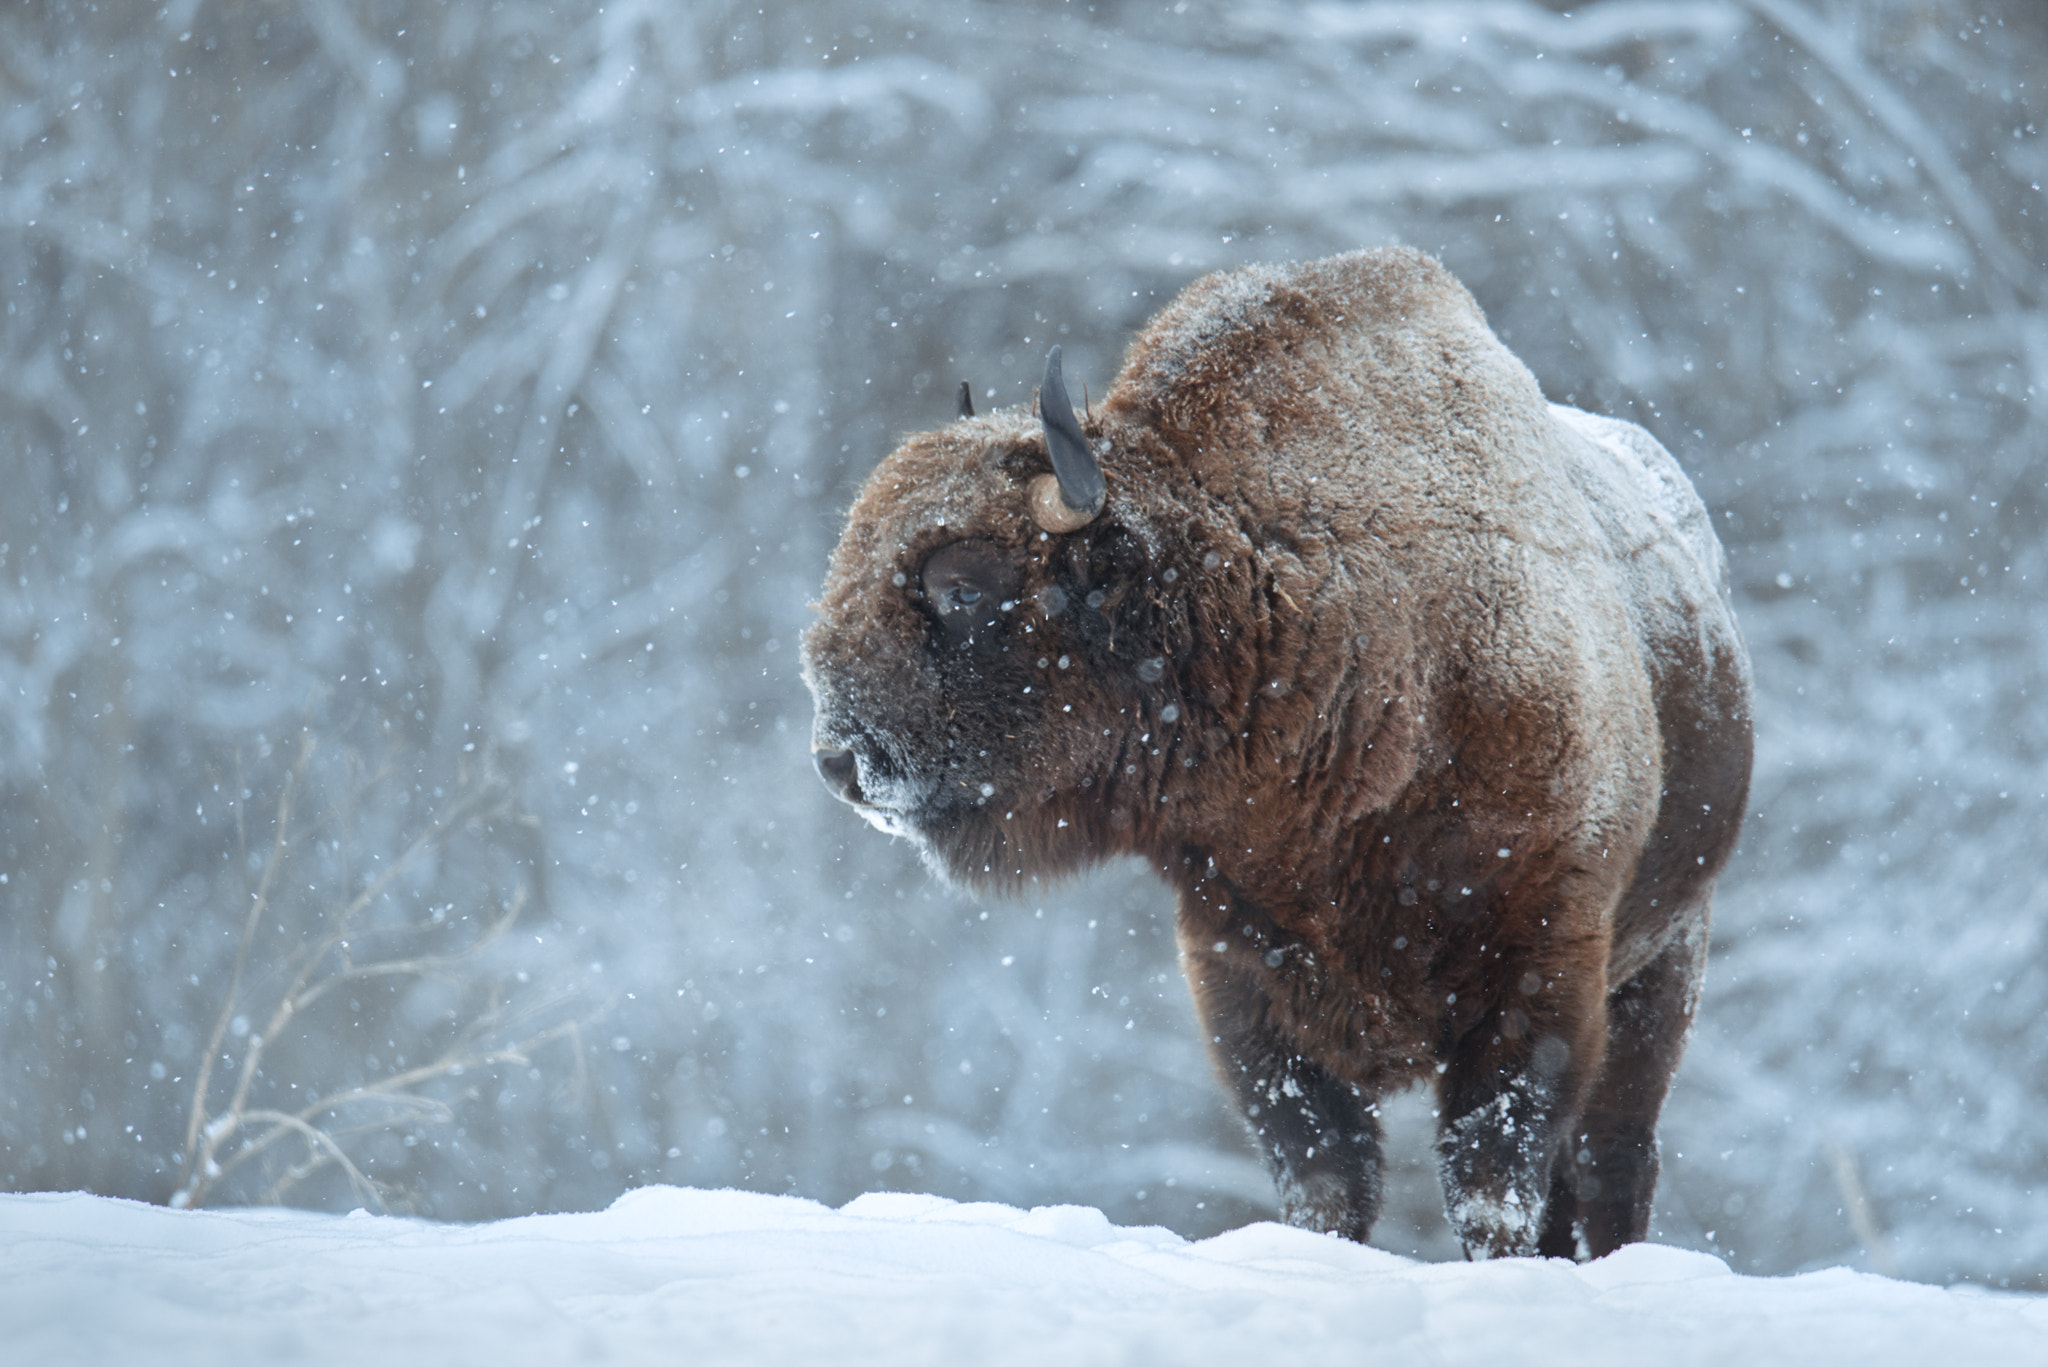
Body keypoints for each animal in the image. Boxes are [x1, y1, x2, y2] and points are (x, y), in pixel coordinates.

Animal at [794, 249, 1744, 1262]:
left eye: (965, 588)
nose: (838, 760)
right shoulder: (1241, 983)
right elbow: (1324, 1175)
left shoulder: (1541, 969)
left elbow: (1493, 1181)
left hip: (1665, 963)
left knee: (1612, 1162)